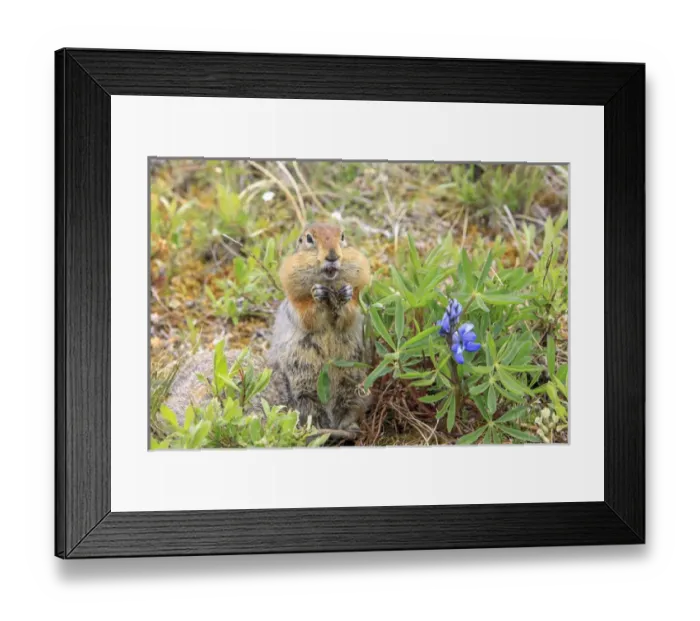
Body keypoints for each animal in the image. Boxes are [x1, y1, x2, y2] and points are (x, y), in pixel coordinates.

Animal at [160, 222, 373, 437]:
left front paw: (346, 292)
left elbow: (350, 313)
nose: (332, 255)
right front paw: (317, 293)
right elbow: (308, 315)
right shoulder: (296, 304)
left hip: (355, 386)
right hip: (303, 389)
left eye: (342, 236)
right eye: (308, 238)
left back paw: (349, 428)